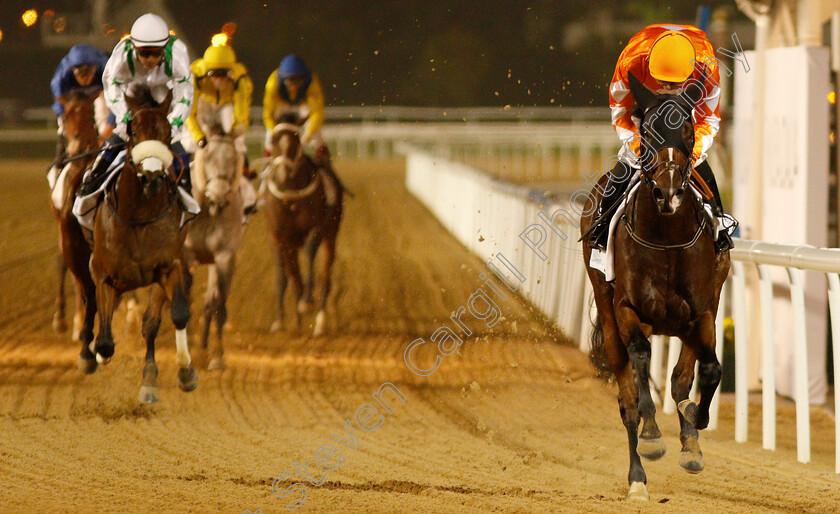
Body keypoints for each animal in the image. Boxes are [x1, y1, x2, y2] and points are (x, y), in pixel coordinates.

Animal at [87, 86, 199, 402]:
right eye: (133, 130)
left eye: (168, 133)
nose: (151, 178)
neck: (138, 215)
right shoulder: (102, 272)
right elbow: (105, 339)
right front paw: (99, 353)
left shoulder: (168, 266)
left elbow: (176, 314)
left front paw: (185, 372)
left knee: (150, 323)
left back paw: (150, 379)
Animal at [180, 124, 241, 368]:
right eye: (208, 158)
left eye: (233, 159)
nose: (218, 196)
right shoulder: (185, 254)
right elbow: (186, 297)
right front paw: (187, 349)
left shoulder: (224, 256)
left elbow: (218, 304)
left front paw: (217, 355)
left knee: (210, 301)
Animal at [262, 121, 342, 334]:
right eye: (274, 141)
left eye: (296, 141)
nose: (283, 174)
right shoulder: (279, 236)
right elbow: (286, 275)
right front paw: (283, 320)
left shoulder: (317, 227)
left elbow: (310, 252)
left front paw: (306, 302)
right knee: (289, 272)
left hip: (331, 235)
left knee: (325, 274)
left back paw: (320, 320)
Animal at [576, 74, 728, 498]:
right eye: (647, 131)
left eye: (688, 130)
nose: (669, 192)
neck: (666, 239)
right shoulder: (629, 310)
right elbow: (641, 363)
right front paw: (652, 437)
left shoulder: (703, 311)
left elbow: (706, 371)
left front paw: (693, 430)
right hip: (609, 312)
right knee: (627, 393)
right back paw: (638, 477)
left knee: (677, 379)